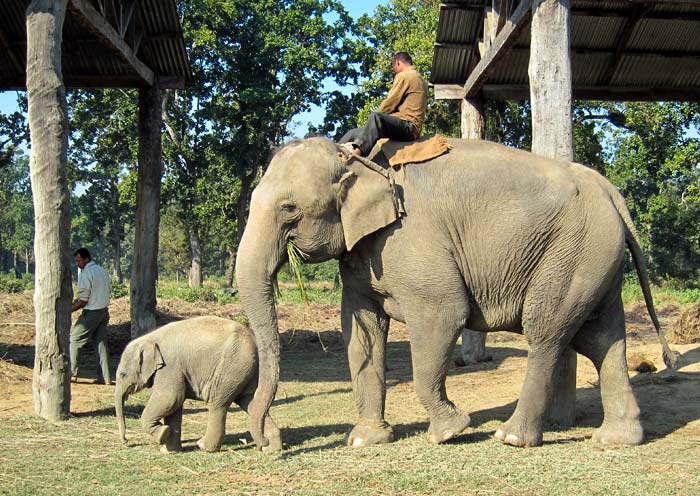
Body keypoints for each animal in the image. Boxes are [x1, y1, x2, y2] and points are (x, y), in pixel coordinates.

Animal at [115, 318, 282, 454]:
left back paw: (204, 446)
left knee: (218, 403)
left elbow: (171, 398)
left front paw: (163, 435)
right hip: (245, 371)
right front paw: (169, 449)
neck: (149, 338)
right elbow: (174, 406)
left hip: (231, 367)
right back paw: (270, 447)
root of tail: (254, 340)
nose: (126, 442)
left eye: (123, 374)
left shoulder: (170, 366)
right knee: (250, 401)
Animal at [237, 136, 680, 450]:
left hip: (572, 254)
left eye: (289, 209)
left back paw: (511, 437)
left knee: (547, 333)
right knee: (602, 338)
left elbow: (443, 314)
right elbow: (360, 331)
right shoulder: (363, 252)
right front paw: (364, 440)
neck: (358, 160)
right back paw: (616, 440)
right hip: (595, 260)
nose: (269, 443)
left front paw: (449, 431)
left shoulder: (409, 239)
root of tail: (609, 189)